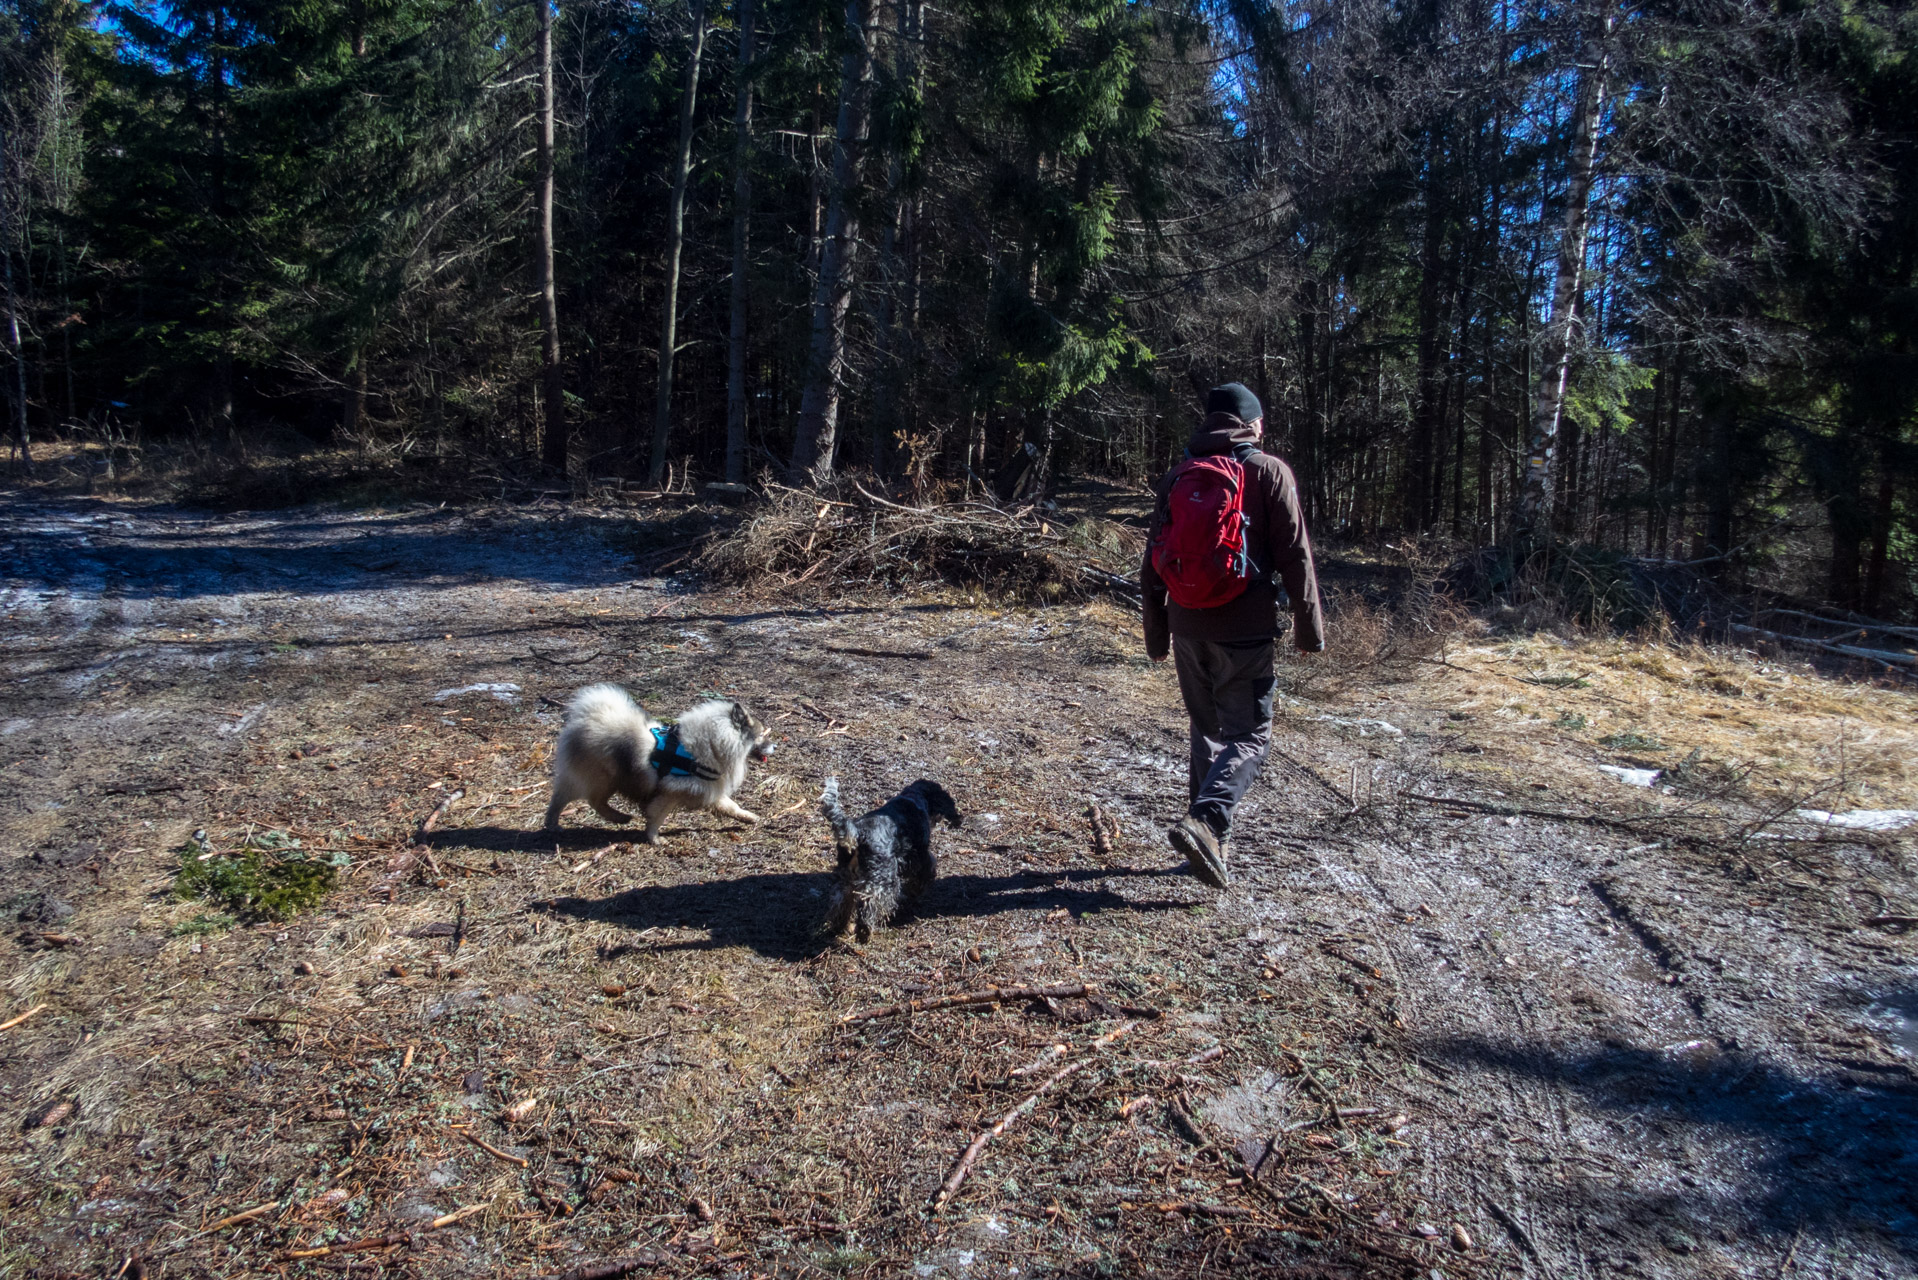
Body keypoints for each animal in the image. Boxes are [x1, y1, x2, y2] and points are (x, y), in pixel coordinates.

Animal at [537, 687, 774, 844]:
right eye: (762, 735)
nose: (775, 745)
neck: (712, 744)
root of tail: (587, 718)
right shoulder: (669, 793)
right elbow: (657, 817)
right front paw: (654, 839)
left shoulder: (707, 788)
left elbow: (731, 806)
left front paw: (749, 817)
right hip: (602, 778)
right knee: (581, 800)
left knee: (578, 800)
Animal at [820, 775, 959, 948]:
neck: (915, 797)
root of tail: (858, 833)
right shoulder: (919, 855)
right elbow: (928, 869)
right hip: (883, 878)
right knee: (868, 903)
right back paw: (865, 933)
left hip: (846, 877)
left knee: (840, 900)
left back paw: (840, 927)